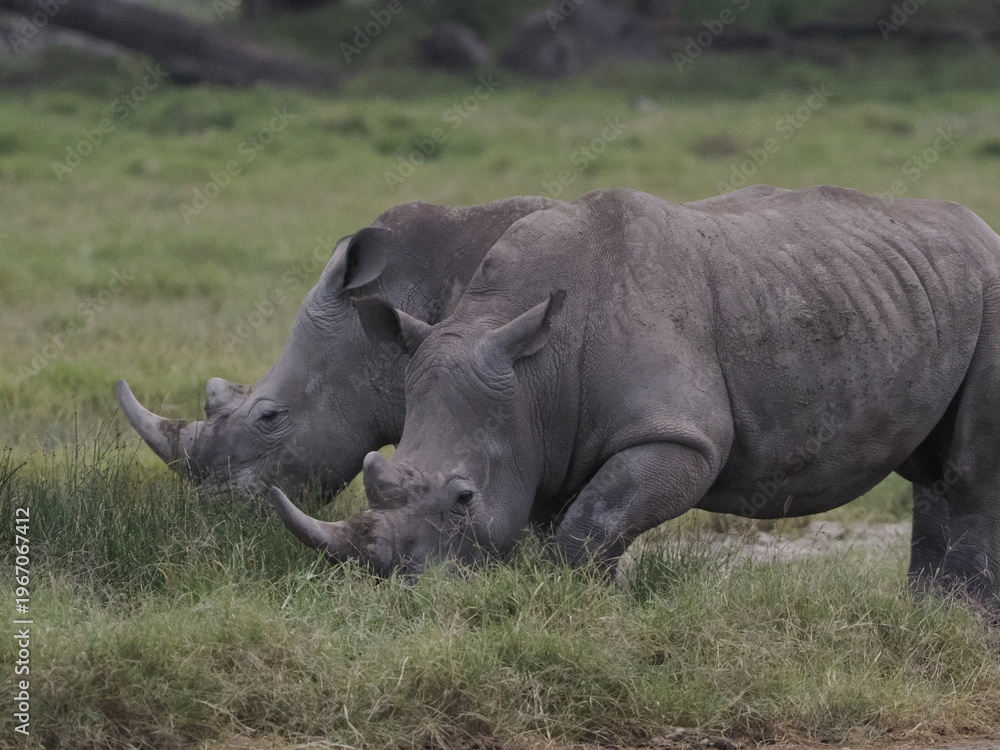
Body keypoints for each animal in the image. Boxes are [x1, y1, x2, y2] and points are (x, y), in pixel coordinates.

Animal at [269, 185, 1000, 608]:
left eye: (463, 497)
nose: (402, 588)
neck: (533, 369)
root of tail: (981, 229)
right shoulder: (542, 439)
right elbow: (566, 523)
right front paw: (575, 605)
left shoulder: (678, 435)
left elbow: (591, 523)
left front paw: (582, 611)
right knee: (933, 472)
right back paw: (925, 615)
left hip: (990, 290)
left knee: (968, 474)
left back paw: (959, 621)